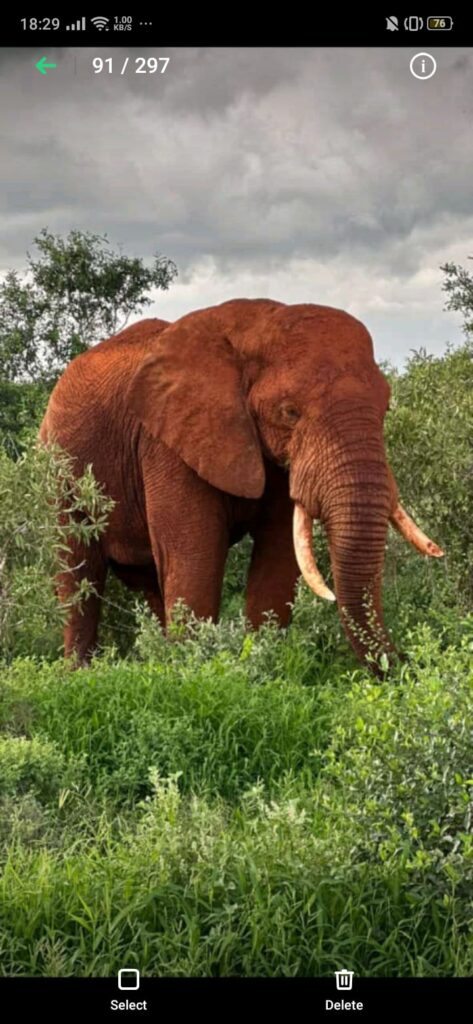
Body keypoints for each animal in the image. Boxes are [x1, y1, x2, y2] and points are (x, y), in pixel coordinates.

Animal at [39, 298, 444, 670]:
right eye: (289, 412)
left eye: (385, 408)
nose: (404, 664)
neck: (255, 325)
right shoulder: (167, 443)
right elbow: (194, 560)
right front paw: (196, 672)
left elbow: (278, 557)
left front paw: (261, 664)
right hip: (60, 470)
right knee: (79, 574)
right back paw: (79, 673)